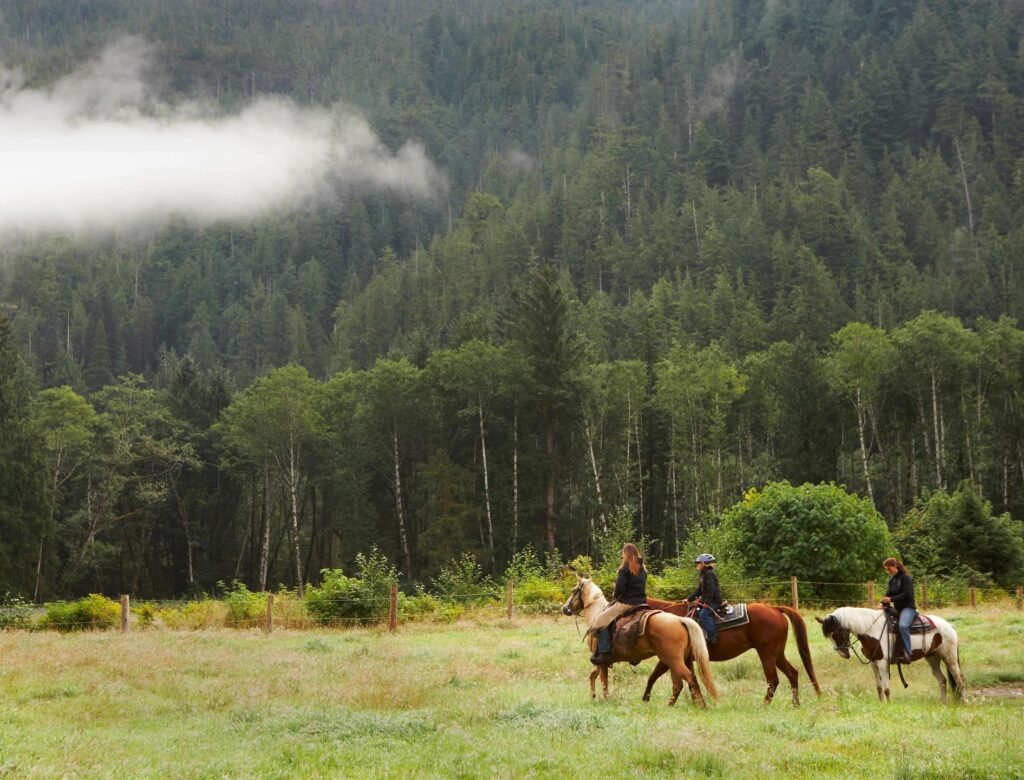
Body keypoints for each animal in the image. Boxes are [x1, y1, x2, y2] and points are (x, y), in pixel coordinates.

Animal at [561, 573, 720, 704]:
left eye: (573, 590)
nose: (565, 608)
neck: (597, 614)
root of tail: (680, 620)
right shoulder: (599, 662)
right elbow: (592, 675)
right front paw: (593, 696)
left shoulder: (602, 661)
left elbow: (603, 681)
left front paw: (604, 700)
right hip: (677, 661)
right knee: (681, 684)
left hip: (673, 660)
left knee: (689, 679)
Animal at [643, 593, 819, 704]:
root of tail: (775, 609)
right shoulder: (685, 660)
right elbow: (691, 681)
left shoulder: (668, 658)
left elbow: (653, 676)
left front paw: (646, 700)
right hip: (778, 654)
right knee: (792, 674)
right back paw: (796, 704)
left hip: (767, 654)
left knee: (773, 680)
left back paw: (764, 705)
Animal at [815, 605, 966, 700]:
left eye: (835, 633)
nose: (844, 654)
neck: (871, 629)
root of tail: (949, 626)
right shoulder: (873, 663)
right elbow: (879, 687)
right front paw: (881, 704)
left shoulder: (883, 662)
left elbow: (886, 688)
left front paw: (888, 705)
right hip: (933, 657)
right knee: (942, 680)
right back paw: (943, 703)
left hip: (949, 656)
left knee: (959, 679)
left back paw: (964, 701)